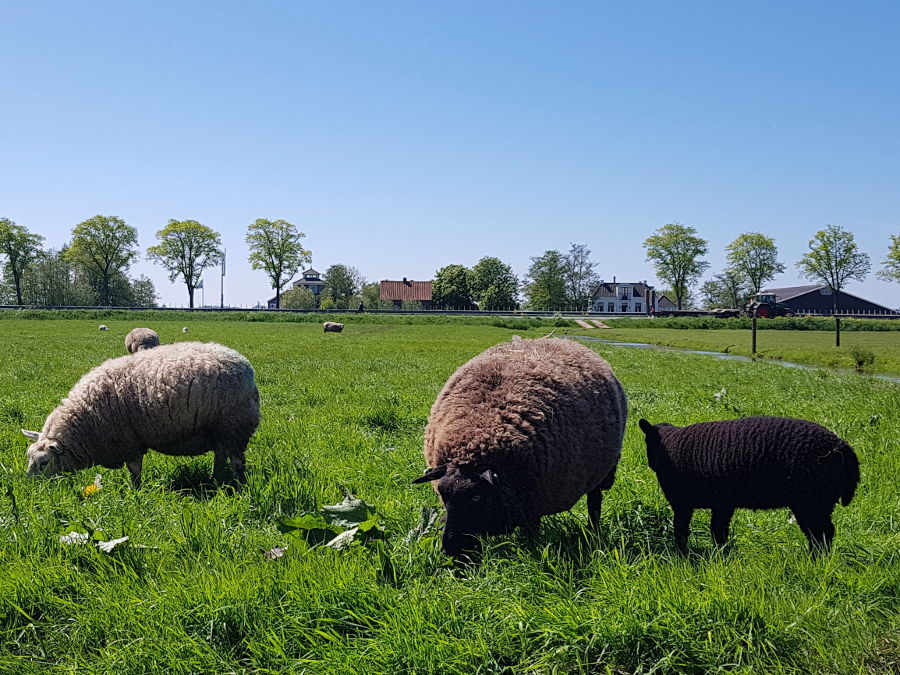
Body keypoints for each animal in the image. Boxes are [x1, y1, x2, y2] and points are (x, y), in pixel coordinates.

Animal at [22, 344, 260, 486]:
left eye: (44, 463)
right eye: (29, 457)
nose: (30, 486)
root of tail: (243, 363)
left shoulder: (130, 442)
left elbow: (134, 470)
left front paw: (135, 491)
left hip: (235, 426)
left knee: (237, 461)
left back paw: (238, 486)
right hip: (221, 431)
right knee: (220, 454)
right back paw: (215, 479)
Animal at [414, 338, 624, 556]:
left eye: (477, 497)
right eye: (442, 495)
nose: (450, 548)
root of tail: (563, 340)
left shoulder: (531, 503)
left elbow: (531, 537)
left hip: (603, 472)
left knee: (594, 501)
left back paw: (593, 532)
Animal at [640, 418, 856, 556]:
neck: (667, 446)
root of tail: (842, 447)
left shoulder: (682, 503)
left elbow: (681, 531)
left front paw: (682, 555)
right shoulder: (723, 503)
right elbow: (718, 531)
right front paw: (721, 554)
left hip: (812, 502)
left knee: (821, 533)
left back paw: (816, 561)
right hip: (820, 503)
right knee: (823, 533)